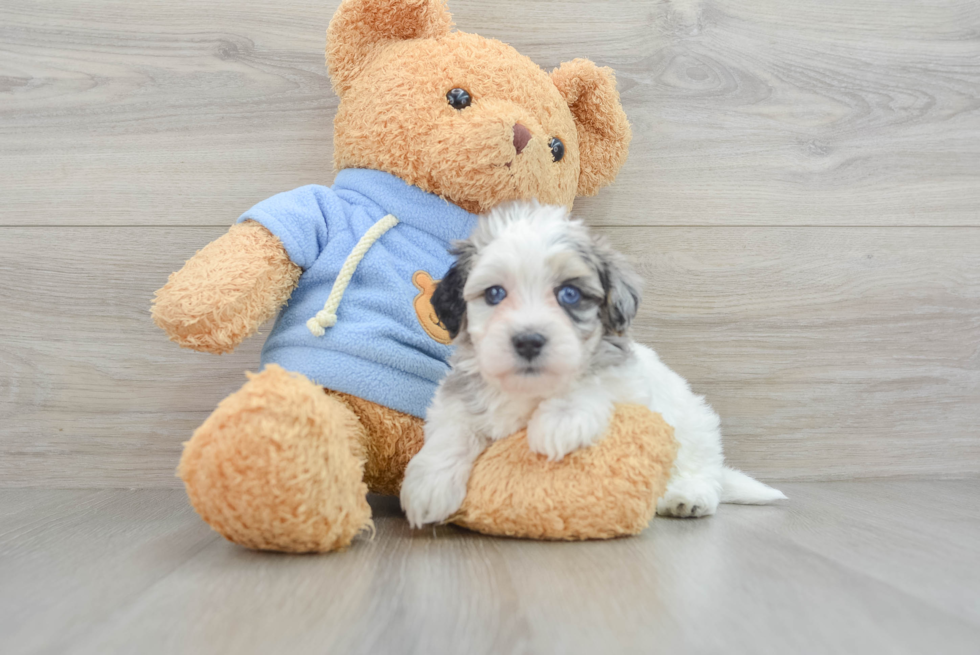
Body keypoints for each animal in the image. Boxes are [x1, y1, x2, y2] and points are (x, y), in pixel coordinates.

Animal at [400, 202, 788, 532]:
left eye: (569, 294)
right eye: (495, 294)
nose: (528, 341)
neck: (531, 390)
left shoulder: (628, 380)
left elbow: (594, 380)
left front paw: (560, 419)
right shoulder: (459, 395)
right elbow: (453, 427)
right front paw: (428, 485)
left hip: (693, 425)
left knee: (703, 470)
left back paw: (687, 497)